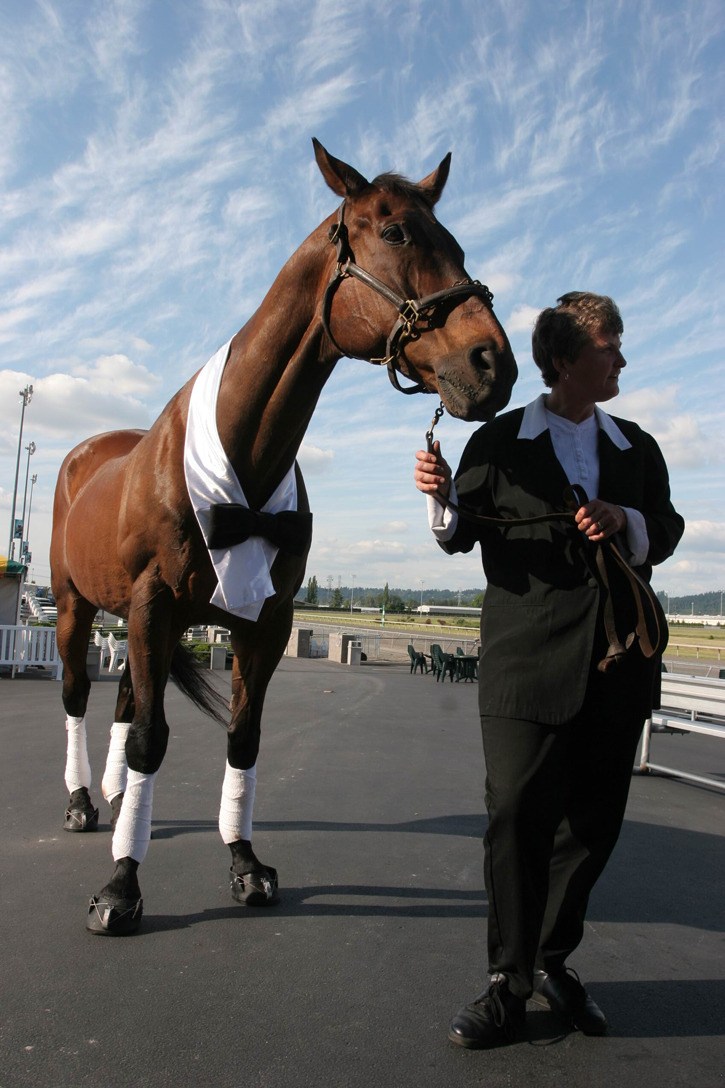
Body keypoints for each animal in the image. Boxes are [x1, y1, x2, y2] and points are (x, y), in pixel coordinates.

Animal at [50, 136, 515, 935]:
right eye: (395, 233)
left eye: (454, 243)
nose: (494, 362)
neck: (244, 451)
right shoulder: (153, 606)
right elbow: (152, 738)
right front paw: (120, 887)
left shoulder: (263, 619)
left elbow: (242, 735)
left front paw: (244, 863)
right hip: (79, 606)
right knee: (82, 696)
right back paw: (84, 802)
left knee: (123, 702)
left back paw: (112, 797)